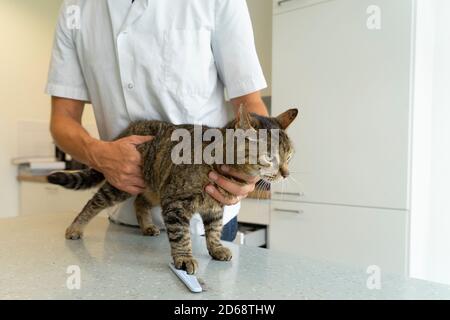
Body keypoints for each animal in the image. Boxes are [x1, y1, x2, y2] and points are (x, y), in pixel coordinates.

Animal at [47, 106, 298, 274]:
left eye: (289, 156)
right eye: (269, 157)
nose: (286, 173)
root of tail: (129, 128)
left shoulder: (215, 208)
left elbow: (214, 231)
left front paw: (216, 249)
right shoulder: (175, 203)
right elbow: (181, 235)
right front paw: (184, 258)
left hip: (155, 186)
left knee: (140, 202)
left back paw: (147, 226)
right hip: (122, 184)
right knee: (94, 202)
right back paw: (76, 228)